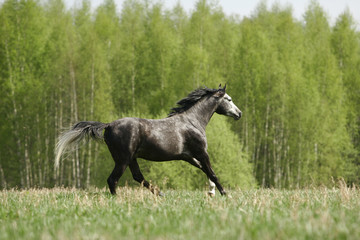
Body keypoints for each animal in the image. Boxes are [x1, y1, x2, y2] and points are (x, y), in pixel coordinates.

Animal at [54, 85, 242, 196]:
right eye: (229, 99)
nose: (239, 113)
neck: (193, 121)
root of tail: (108, 125)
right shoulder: (202, 152)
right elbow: (212, 172)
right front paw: (224, 193)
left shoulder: (188, 156)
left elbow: (205, 170)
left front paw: (212, 191)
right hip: (123, 159)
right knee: (113, 179)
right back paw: (118, 199)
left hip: (131, 158)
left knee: (138, 177)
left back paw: (159, 194)